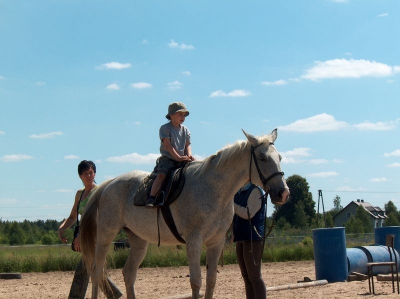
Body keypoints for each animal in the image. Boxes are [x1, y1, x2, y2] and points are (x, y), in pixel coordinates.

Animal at [79, 129, 290, 299]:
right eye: (262, 158)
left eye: (279, 157)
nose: (283, 193)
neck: (213, 189)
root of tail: (111, 183)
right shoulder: (194, 241)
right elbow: (196, 281)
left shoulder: (216, 242)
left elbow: (211, 281)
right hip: (106, 236)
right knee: (96, 273)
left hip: (139, 241)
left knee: (128, 273)